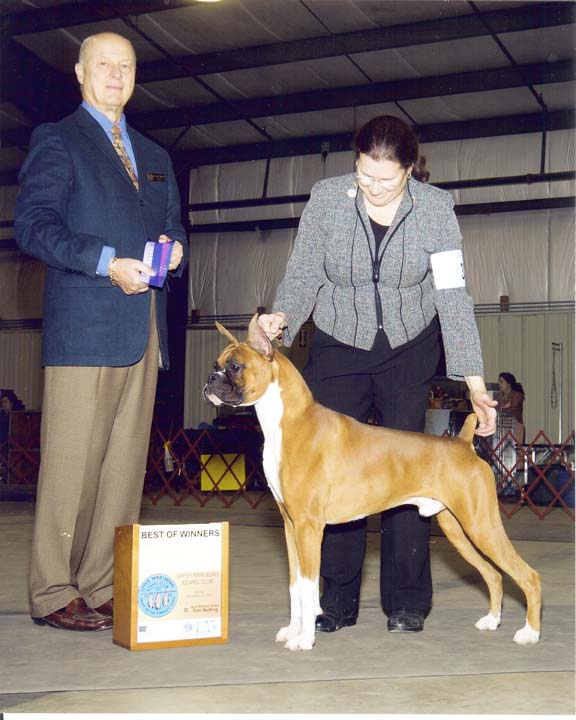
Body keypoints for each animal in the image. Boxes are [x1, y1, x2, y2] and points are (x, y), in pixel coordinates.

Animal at [205, 316, 544, 652]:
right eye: (216, 363)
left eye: (235, 366)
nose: (210, 378)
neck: (289, 421)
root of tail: (462, 443)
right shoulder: (290, 526)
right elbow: (295, 587)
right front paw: (292, 630)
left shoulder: (308, 527)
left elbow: (309, 588)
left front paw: (304, 639)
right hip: (457, 528)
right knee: (494, 574)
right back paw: (492, 620)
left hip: (481, 525)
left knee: (528, 576)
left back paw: (529, 632)